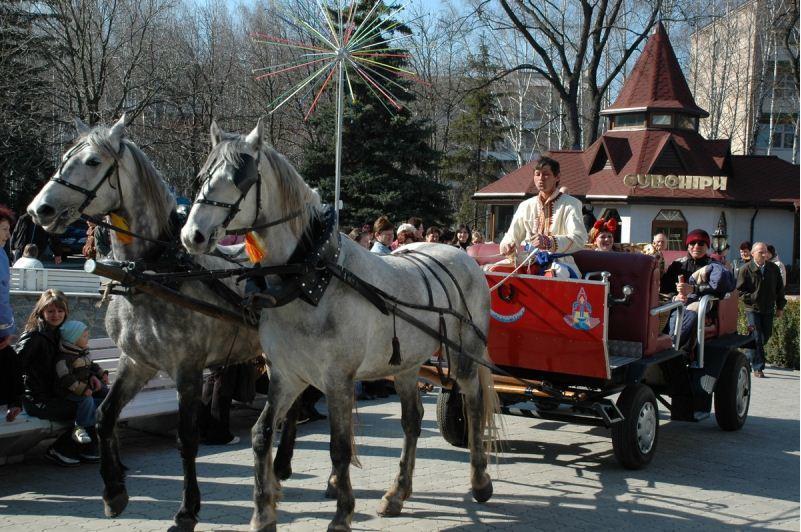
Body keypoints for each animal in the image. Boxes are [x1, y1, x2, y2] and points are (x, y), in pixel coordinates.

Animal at [26, 117, 300, 532]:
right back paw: (282, 465)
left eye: (92, 161)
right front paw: (114, 493)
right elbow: (105, 417)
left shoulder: (187, 369)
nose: (39, 209)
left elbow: (186, 439)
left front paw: (187, 510)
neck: (153, 273)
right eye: (63, 157)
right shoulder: (135, 363)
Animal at [180, 120, 500, 532]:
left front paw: (341, 513)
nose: (192, 235)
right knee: (412, 422)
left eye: (240, 178)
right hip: (407, 365)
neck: (311, 278)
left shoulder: (337, 379)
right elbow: (262, 434)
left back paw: (479, 480)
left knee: (473, 403)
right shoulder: (287, 375)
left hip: (463, 355)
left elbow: (339, 446)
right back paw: (398, 493)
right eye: (203, 176)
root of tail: (465, 256)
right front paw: (263, 513)